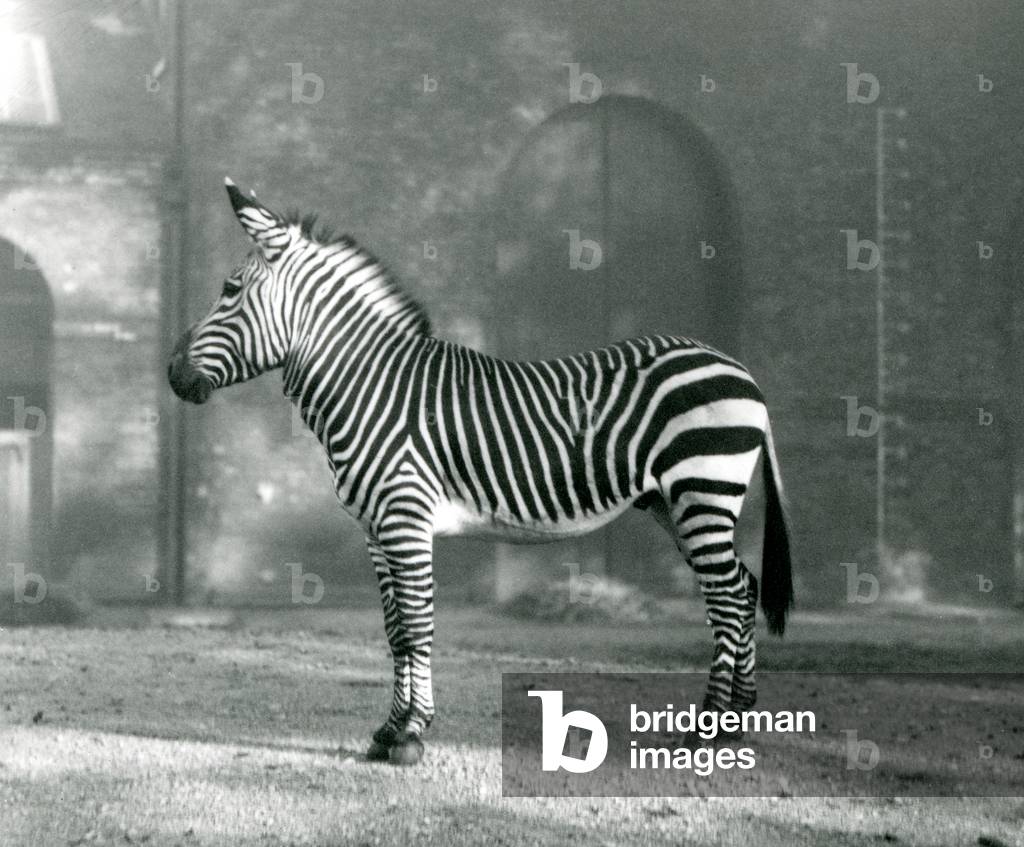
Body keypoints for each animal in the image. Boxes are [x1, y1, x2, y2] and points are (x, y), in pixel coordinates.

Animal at [168, 178, 794, 766]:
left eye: (228, 290)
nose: (173, 375)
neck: (371, 387)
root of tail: (740, 371)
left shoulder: (405, 520)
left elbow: (417, 624)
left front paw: (412, 735)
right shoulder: (374, 529)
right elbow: (395, 631)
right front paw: (388, 731)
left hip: (702, 492)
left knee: (728, 598)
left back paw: (706, 728)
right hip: (675, 503)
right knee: (743, 588)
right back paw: (738, 720)